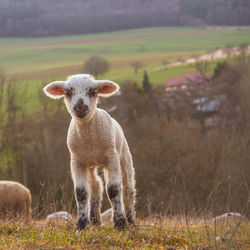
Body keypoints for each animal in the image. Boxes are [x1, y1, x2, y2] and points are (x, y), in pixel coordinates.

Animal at [43, 74, 137, 230]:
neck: (89, 142)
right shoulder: (76, 162)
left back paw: (131, 221)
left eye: (93, 91)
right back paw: (94, 220)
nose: (80, 107)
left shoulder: (112, 157)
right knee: (95, 186)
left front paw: (120, 223)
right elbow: (81, 192)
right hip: (91, 164)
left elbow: (113, 189)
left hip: (124, 156)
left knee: (127, 189)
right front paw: (81, 224)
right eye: (68, 92)